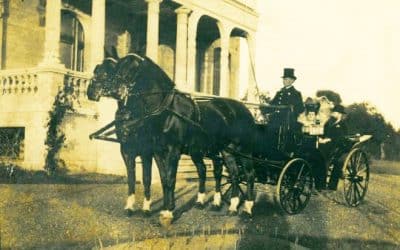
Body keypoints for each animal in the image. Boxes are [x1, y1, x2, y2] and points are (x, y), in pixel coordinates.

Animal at [86, 55, 154, 214]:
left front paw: (146, 206)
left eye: (106, 74)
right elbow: (131, 177)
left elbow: (146, 178)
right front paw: (130, 206)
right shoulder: (126, 150)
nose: (90, 92)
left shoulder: (146, 152)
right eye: (96, 71)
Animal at [109, 52, 258, 225]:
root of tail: (245, 109)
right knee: (231, 173)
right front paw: (166, 208)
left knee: (249, 174)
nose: (115, 89)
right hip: (224, 150)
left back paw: (247, 209)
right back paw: (231, 206)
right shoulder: (158, 152)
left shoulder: (173, 152)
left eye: (132, 68)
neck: (166, 111)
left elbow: (170, 179)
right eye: (118, 65)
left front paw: (168, 212)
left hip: (243, 150)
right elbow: (164, 179)